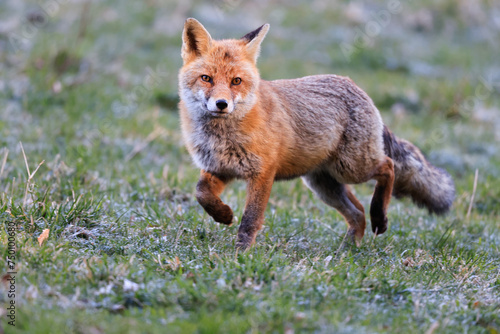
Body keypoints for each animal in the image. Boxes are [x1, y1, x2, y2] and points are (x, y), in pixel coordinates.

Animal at [178, 17, 456, 248]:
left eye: (236, 81)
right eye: (206, 78)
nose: (221, 104)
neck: (221, 137)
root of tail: (357, 88)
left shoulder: (262, 173)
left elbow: (250, 219)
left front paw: (242, 254)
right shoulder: (219, 168)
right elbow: (201, 193)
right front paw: (223, 215)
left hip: (352, 168)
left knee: (388, 167)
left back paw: (379, 217)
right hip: (325, 184)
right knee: (357, 213)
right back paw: (348, 251)